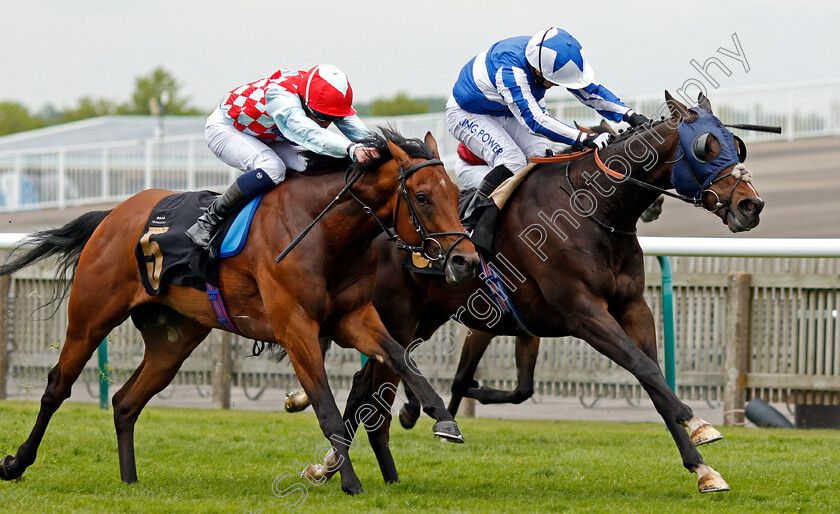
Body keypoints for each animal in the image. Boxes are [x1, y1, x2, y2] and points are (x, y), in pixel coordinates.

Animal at [0, 128, 476, 492]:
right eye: (422, 197)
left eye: (456, 193)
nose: (465, 260)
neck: (324, 231)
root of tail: (112, 215)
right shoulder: (296, 328)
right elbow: (326, 407)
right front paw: (348, 482)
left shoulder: (354, 318)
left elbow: (401, 358)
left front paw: (444, 420)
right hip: (91, 317)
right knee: (57, 387)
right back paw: (16, 463)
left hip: (173, 340)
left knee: (125, 402)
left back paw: (130, 481)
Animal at [306, 94, 760, 490]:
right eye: (706, 147)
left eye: (737, 145)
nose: (751, 205)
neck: (594, 208)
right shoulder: (583, 312)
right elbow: (644, 369)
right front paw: (698, 422)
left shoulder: (632, 308)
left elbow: (654, 378)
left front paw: (703, 468)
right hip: (396, 317)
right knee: (372, 386)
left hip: (423, 319)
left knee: (366, 384)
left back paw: (337, 466)